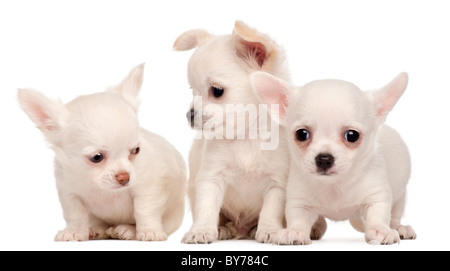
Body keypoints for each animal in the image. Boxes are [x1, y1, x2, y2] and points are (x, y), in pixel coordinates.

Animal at [17, 63, 186, 242]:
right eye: (96, 157)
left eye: (135, 150)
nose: (124, 177)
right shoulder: (70, 193)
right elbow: (75, 214)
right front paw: (74, 231)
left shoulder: (147, 189)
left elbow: (145, 211)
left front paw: (149, 231)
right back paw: (96, 230)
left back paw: (127, 230)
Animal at [173, 21, 326, 244]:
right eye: (193, 92)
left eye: (217, 91)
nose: (190, 115)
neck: (247, 136)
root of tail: (241, 229)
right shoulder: (211, 178)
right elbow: (207, 208)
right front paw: (201, 231)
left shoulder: (277, 183)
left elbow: (270, 209)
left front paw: (270, 230)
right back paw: (223, 229)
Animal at [251, 71, 416, 245]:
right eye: (301, 134)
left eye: (352, 135)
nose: (324, 158)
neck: (333, 185)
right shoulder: (299, 202)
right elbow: (297, 217)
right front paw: (295, 231)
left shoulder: (377, 195)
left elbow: (378, 214)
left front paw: (380, 230)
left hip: (400, 197)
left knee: (394, 216)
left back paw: (399, 228)